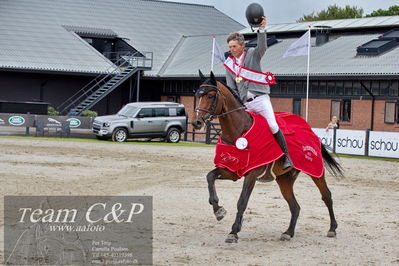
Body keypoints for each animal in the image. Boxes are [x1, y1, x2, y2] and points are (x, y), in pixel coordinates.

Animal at [191, 70, 344, 243]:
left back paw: (332, 229)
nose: (196, 122)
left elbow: (242, 201)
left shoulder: (252, 173)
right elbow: (210, 177)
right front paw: (218, 210)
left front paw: (234, 231)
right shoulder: (231, 170)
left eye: (210, 96)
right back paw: (288, 232)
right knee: (295, 206)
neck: (238, 132)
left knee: (326, 196)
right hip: (284, 179)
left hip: (315, 171)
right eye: (197, 95)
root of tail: (310, 129)